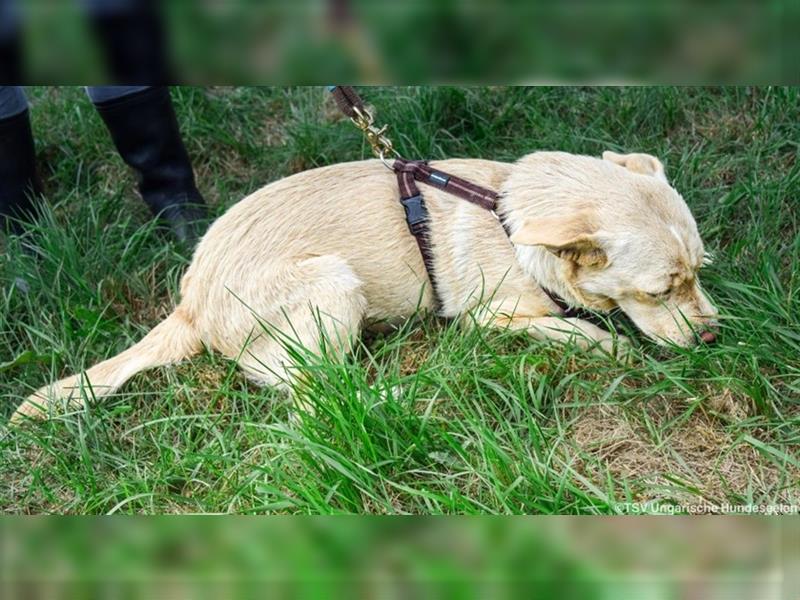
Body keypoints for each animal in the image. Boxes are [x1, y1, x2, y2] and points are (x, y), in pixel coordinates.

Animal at [10, 150, 720, 422]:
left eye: (699, 272)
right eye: (660, 290)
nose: (715, 341)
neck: (512, 216)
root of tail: (190, 305)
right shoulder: (489, 316)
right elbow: (584, 332)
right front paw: (614, 345)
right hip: (333, 281)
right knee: (316, 398)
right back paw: (398, 396)